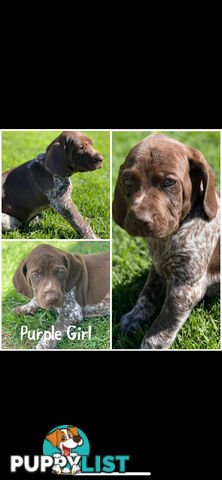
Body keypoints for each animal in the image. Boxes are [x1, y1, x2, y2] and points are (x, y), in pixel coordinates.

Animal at [113, 134, 219, 348]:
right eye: (127, 180)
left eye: (170, 182)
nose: (140, 220)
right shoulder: (157, 269)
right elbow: (146, 295)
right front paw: (133, 317)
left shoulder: (185, 288)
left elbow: (162, 327)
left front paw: (148, 344)